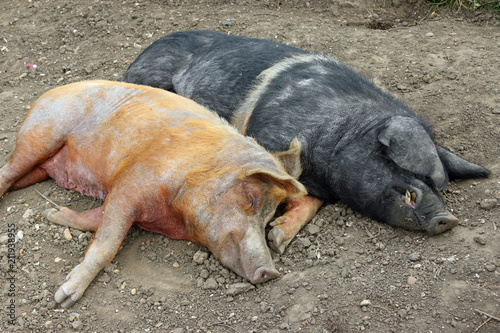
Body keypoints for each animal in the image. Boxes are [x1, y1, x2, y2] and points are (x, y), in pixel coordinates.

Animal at [123, 30, 490, 252]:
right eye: (419, 174)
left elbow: (308, 199)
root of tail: (147, 48)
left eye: (441, 185)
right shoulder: (270, 133)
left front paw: (277, 238)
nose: (449, 218)